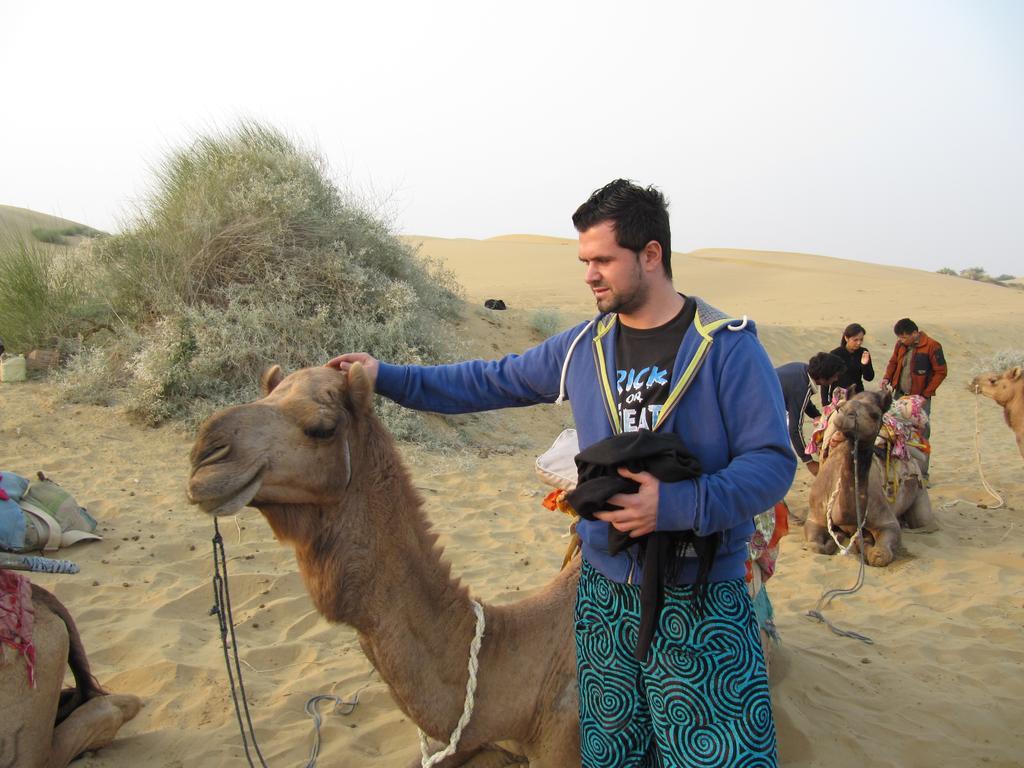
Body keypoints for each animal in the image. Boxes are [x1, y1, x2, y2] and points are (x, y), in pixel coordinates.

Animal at [802, 393, 937, 569]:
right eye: (841, 406)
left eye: (875, 414)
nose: (845, 414)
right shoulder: (815, 516)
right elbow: (815, 546)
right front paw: (838, 539)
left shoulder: (886, 520)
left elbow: (879, 555)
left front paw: (862, 545)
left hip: (920, 491)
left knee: (922, 520)